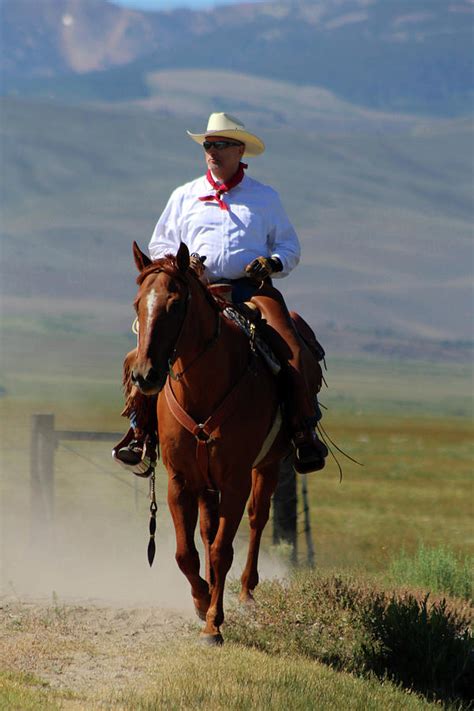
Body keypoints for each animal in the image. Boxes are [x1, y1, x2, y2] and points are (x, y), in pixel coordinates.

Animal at [131, 241, 308, 644]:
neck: (203, 389)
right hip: (206, 482)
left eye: (175, 304)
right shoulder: (181, 479)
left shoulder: (235, 480)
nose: (146, 375)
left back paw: (245, 592)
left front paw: (213, 622)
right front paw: (200, 601)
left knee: (258, 519)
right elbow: (187, 553)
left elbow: (222, 550)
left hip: (267, 466)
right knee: (208, 532)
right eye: (138, 304)